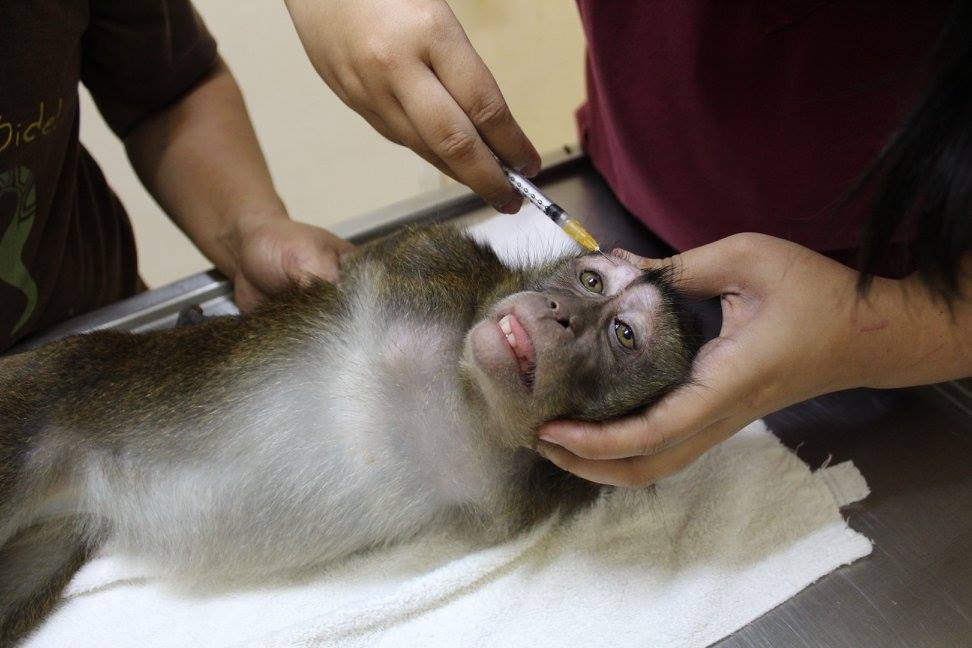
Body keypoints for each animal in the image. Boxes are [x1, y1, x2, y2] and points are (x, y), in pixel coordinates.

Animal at [0, 223, 700, 644]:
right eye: (590, 281)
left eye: (622, 335)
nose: (562, 314)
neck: (469, 393)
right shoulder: (432, 258)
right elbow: (370, 260)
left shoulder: (515, 495)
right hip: (29, 405)